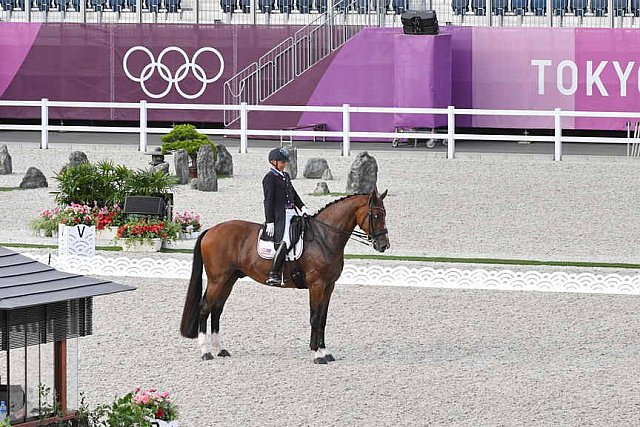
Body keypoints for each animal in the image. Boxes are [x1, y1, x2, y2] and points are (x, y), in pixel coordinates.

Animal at [180, 191, 390, 364]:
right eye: (375, 215)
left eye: (384, 214)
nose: (384, 245)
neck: (324, 237)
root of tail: (211, 230)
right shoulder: (317, 284)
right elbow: (315, 318)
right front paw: (317, 354)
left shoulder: (329, 286)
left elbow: (323, 318)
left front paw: (325, 351)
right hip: (217, 280)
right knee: (204, 308)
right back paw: (206, 352)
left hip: (229, 280)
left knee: (216, 309)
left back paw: (221, 349)